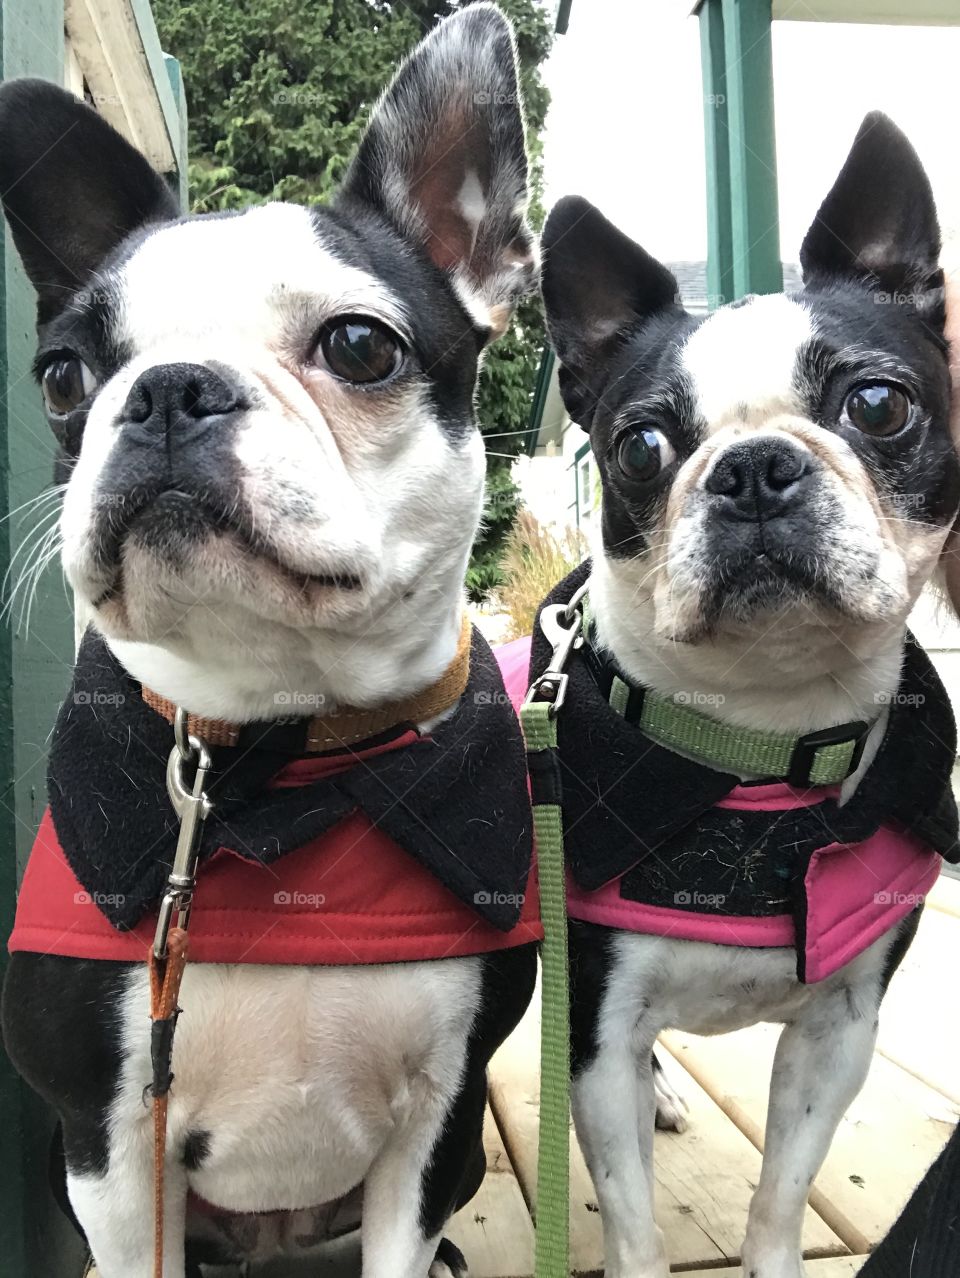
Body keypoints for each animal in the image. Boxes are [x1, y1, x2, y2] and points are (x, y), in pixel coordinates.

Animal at [0, 4, 541, 1272]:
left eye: (360, 347)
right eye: (64, 375)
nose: (165, 391)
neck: (281, 753)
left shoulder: (439, 1128)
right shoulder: (108, 1154)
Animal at [541, 117, 960, 1278]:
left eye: (878, 405)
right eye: (640, 446)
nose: (756, 467)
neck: (761, 747)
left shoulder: (839, 1034)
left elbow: (781, 1195)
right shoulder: (597, 1033)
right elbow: (633, 1220)